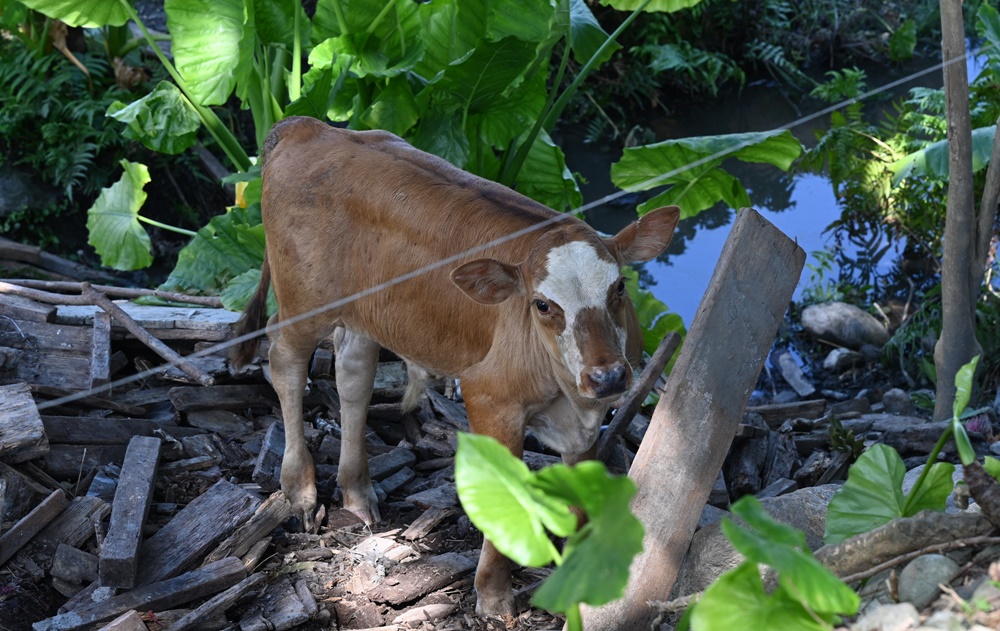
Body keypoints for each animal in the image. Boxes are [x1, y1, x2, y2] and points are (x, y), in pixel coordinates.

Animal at [230, 116, 676, 616]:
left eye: (619, 288)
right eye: (542, 305)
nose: (608, 376)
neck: (566, 392)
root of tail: (307, 126)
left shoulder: (585, 420)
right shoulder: (489, 399)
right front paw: (494, 596)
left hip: (365, 312)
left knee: (354, 374)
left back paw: (358, 492)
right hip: (304, 302)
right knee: (284, 360)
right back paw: (301, 490)